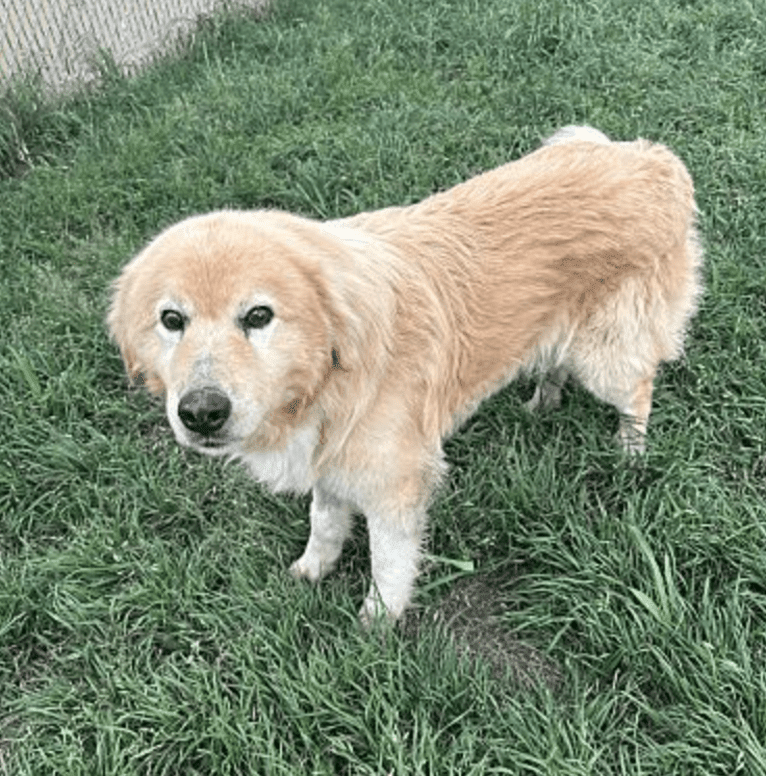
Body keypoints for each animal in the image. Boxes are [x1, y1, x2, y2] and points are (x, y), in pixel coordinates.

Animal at [108, 127, 704, 624]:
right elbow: (325, 523)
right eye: (171, 320)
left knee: (640, 390)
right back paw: (542, 402)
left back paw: (630, 452)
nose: (201, 413)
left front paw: (378, 622)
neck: (329, 375)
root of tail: (649, 157)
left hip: (607, 356)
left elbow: (387, 561)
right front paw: (312, 570)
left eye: (258, 316)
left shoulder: (395, 484)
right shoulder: (334, 462)